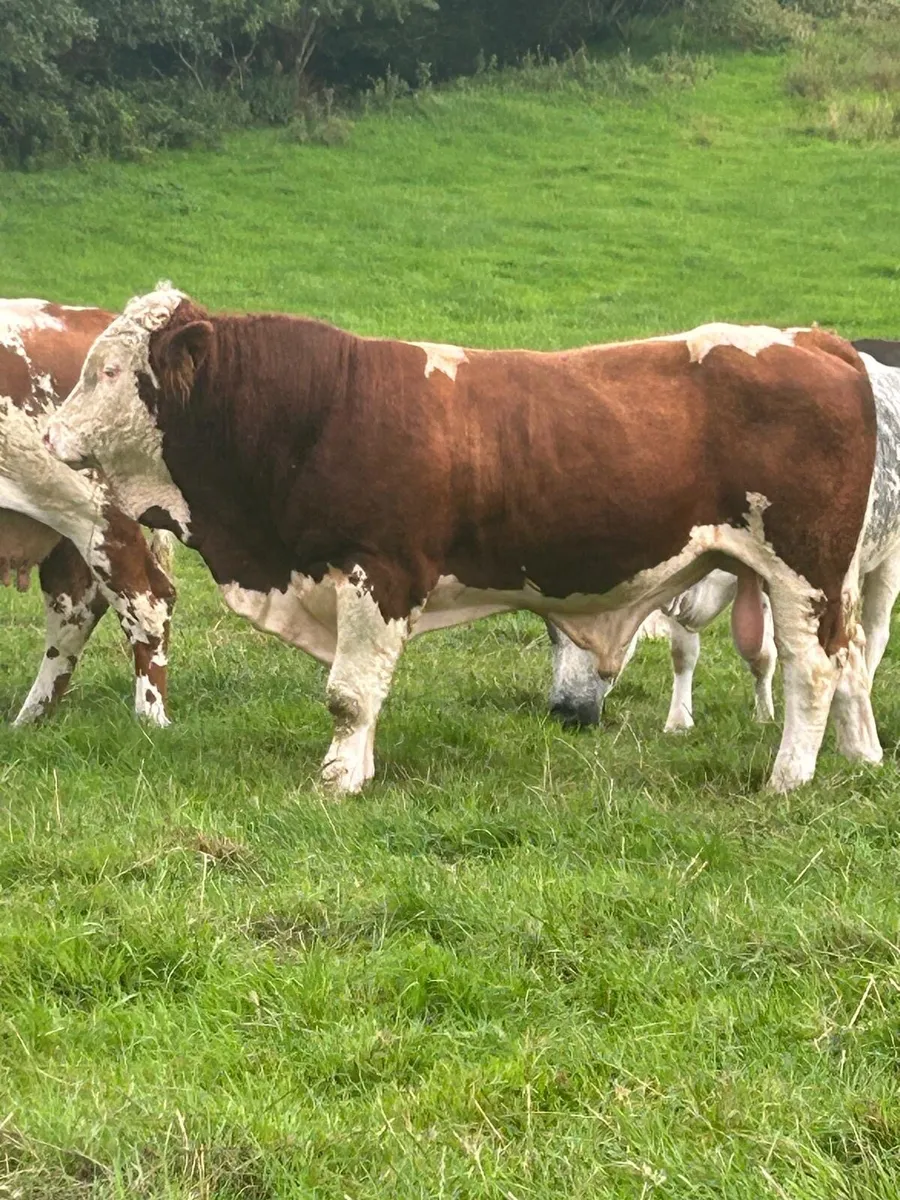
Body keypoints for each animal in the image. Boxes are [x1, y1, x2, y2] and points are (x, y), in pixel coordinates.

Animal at [547, 342, 900, 735]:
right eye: (551, 632)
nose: (564, 711)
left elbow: (764, 654)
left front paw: (765, 715)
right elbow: (684, 653)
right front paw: (679, 720)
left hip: (888, 558)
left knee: (875, 631)